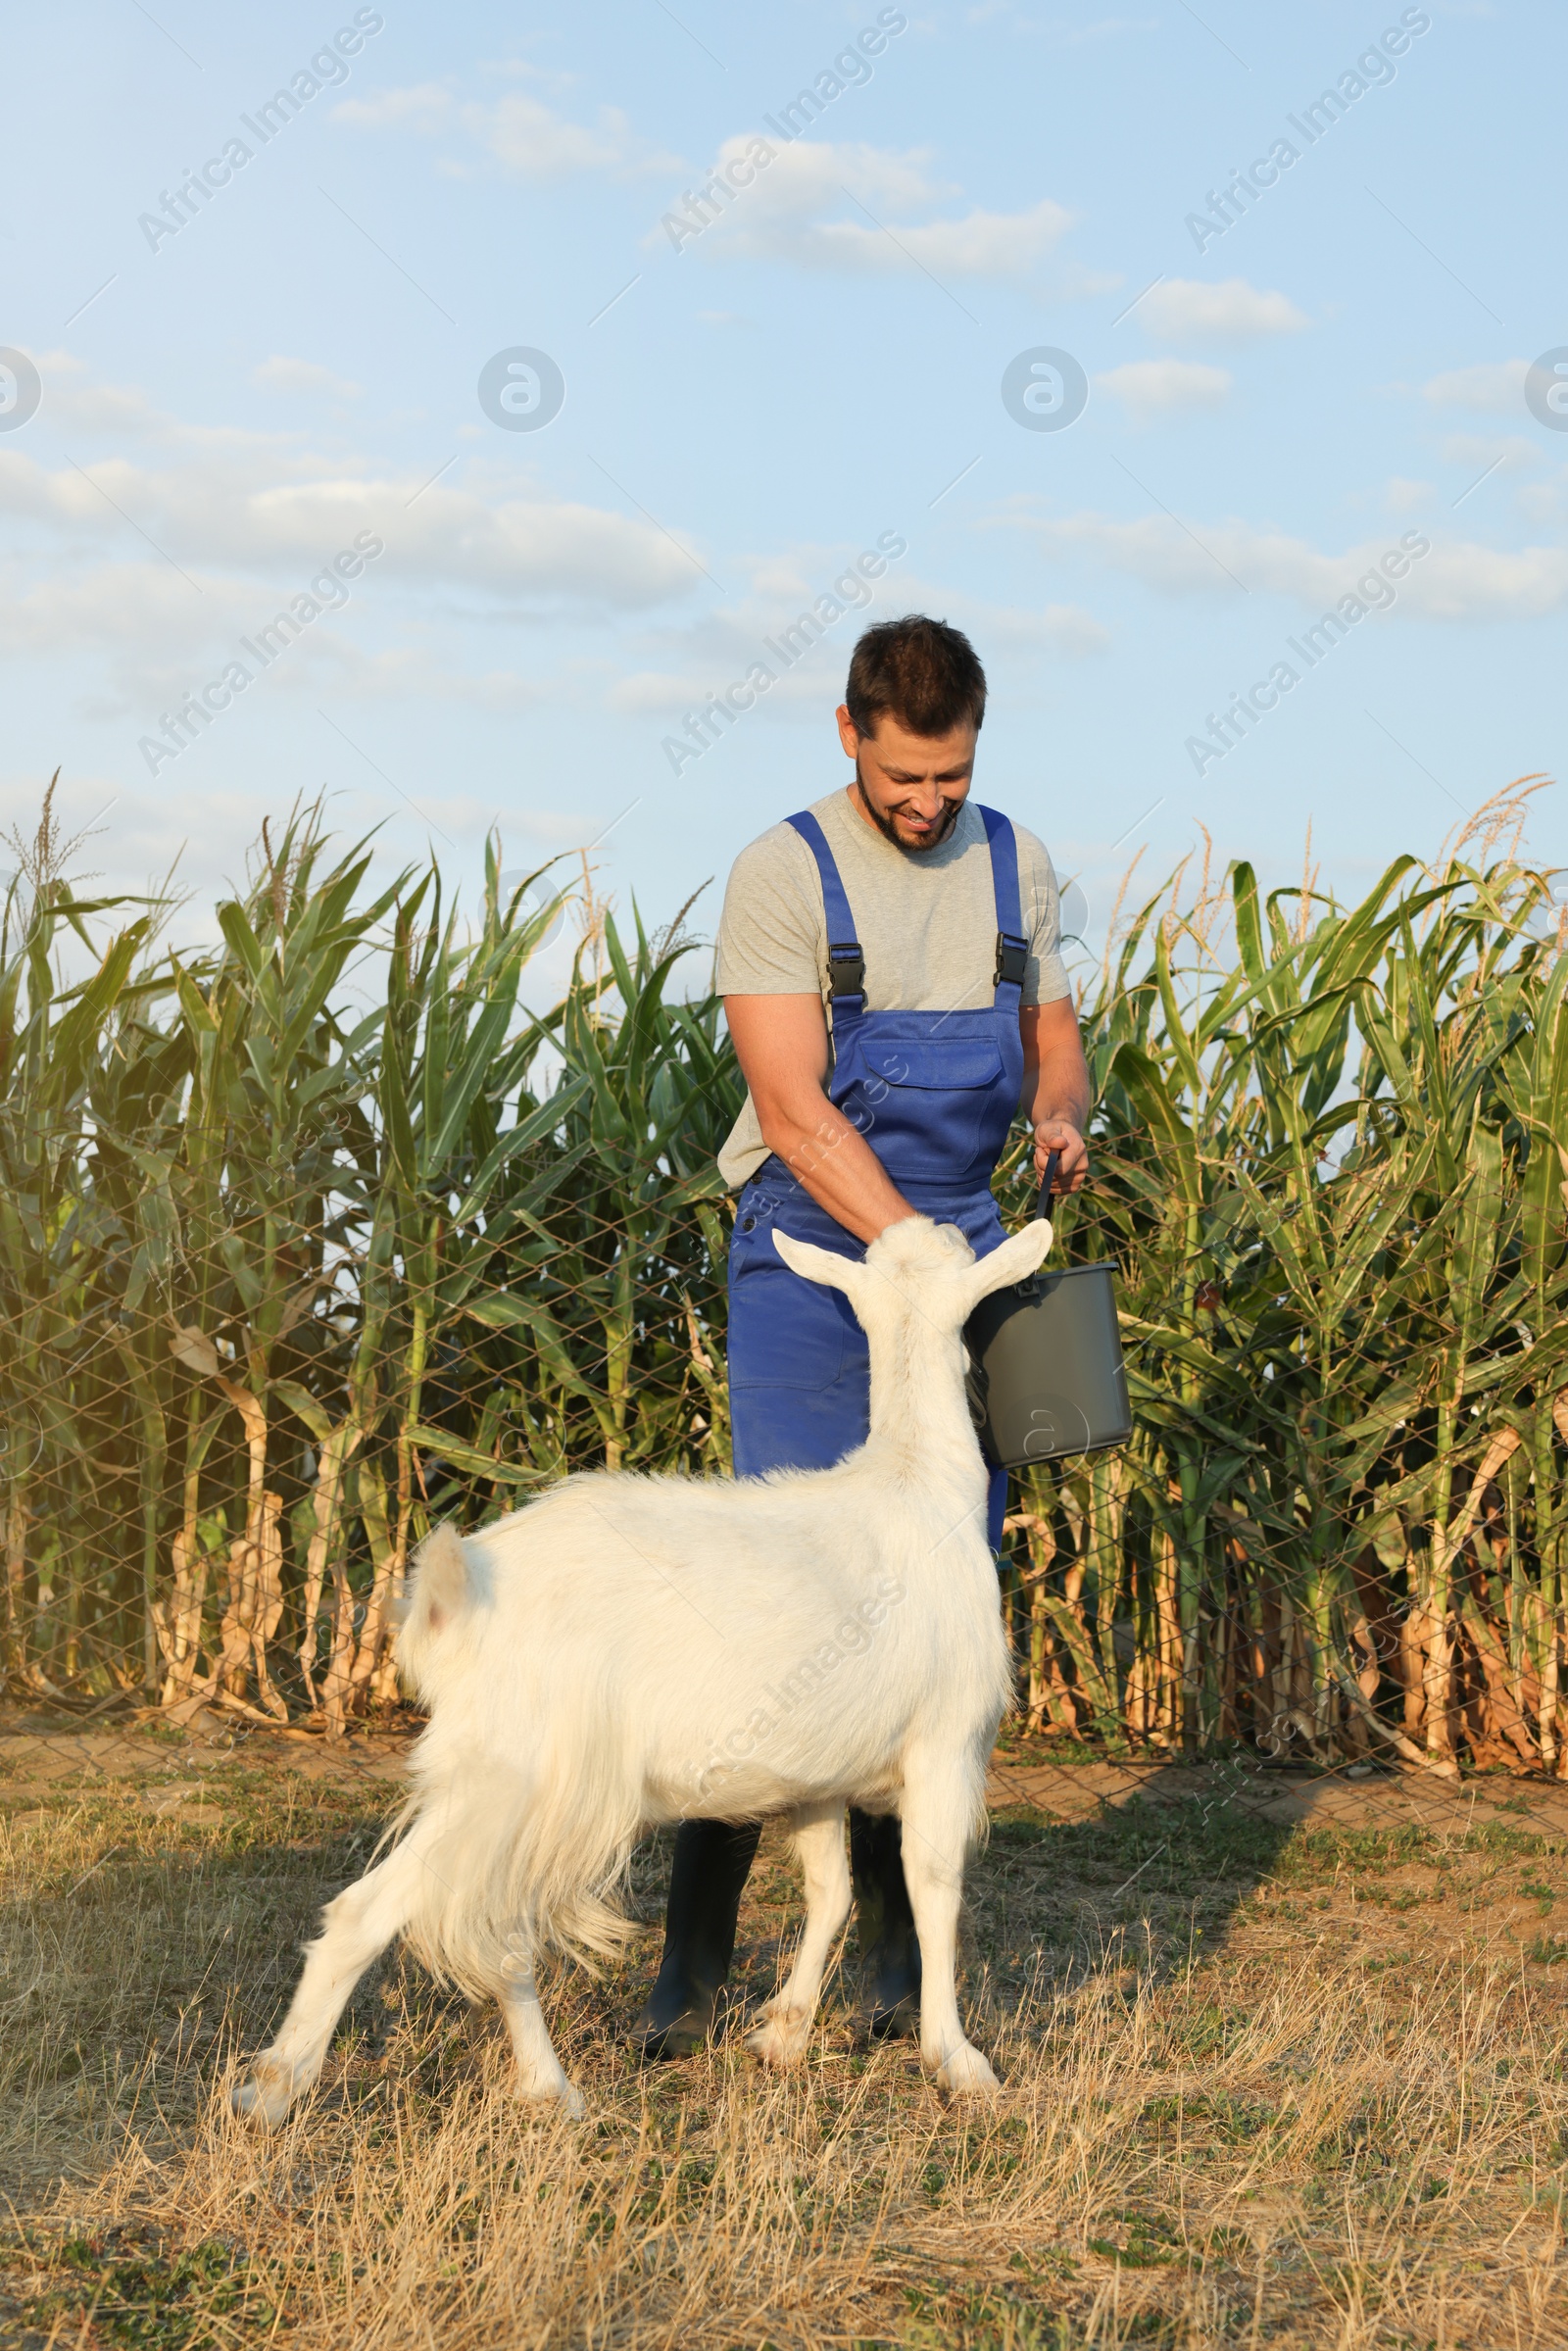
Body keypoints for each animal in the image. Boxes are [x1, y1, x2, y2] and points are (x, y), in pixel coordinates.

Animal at [226, 1212, 1048, 2134]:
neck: (913, 1476)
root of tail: (459, 1597)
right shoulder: (947, 1741)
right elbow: (934, 1887)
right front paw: (958, 2059)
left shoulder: (816, 1771)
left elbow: (830, 1889)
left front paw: (784, 2033)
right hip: (517, 1775)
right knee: (368, 1911)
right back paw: (271, 2091)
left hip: (516, 1786)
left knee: (499, 1932)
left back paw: (549, 2090)